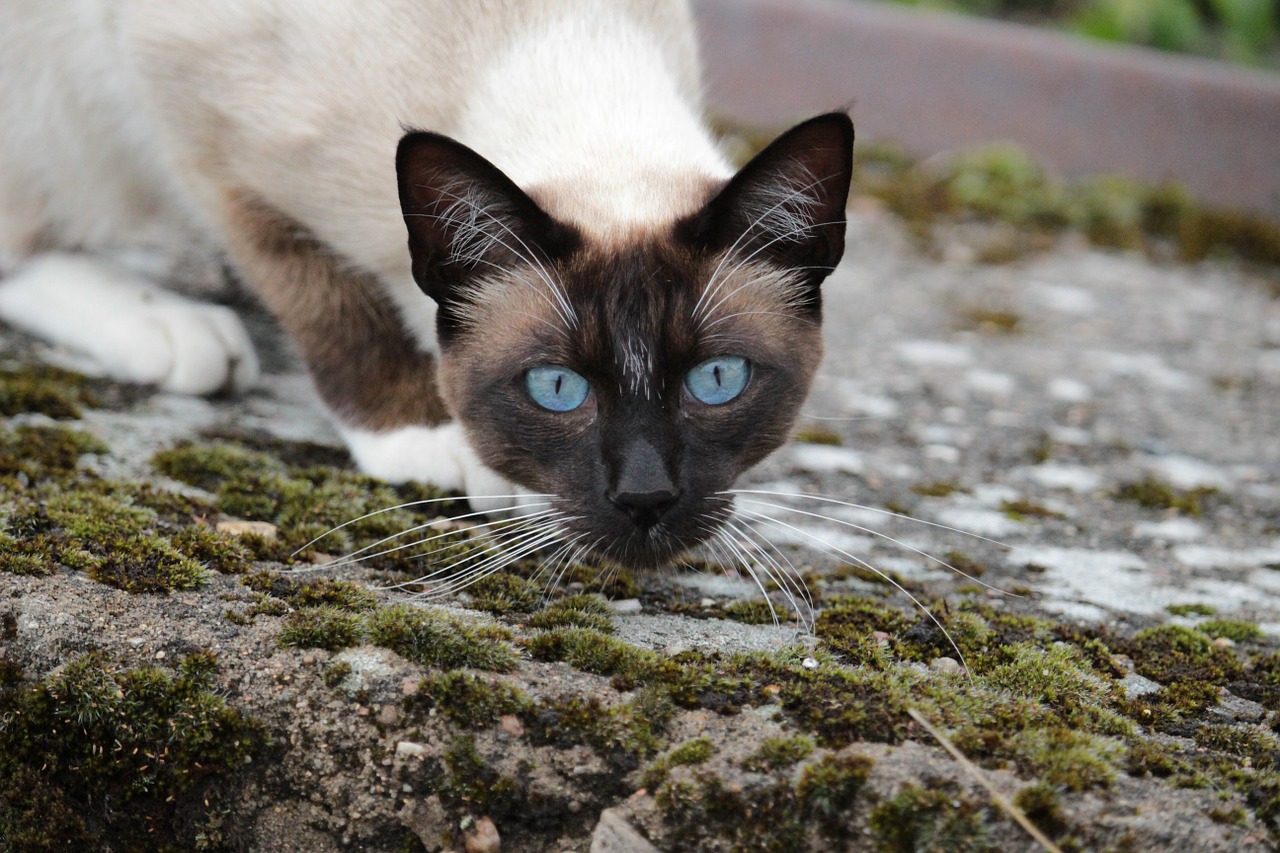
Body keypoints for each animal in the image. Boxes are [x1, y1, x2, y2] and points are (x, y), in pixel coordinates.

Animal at [2, 1, 860, 571]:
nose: (646, 498)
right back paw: (173, 327)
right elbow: (331, 302)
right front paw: (428, 437)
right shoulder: (202, 132)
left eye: (719, 380)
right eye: (555, 388)